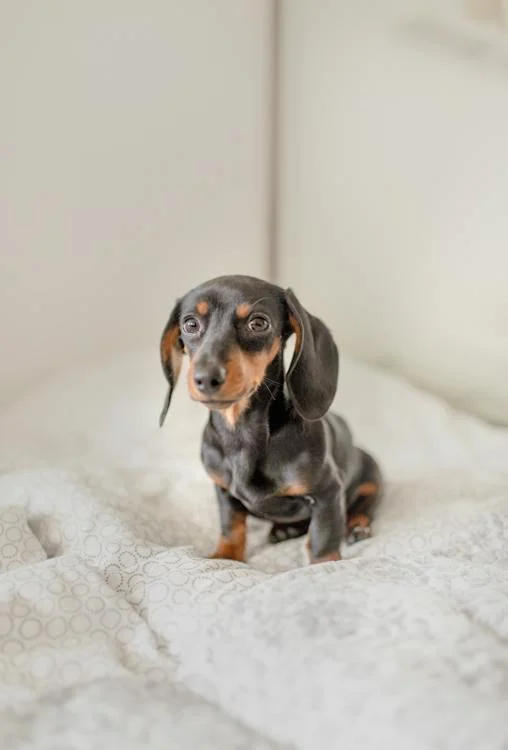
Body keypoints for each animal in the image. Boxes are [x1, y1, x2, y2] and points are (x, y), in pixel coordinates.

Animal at [159, 276, 380, 564]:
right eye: (190, 324)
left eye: (258, 323)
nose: (206, 378)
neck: (242, 436)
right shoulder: (223, 490)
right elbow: (231, 526)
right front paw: (225, 557)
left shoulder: (328, 492)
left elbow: (324, 536)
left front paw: (325, 565)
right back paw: (286, 529)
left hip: (371, 472)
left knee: (365, 502)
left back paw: (357, 526)